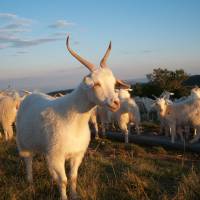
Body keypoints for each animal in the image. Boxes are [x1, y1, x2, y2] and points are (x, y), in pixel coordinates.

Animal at [16, 36, 128, 200]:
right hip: (23, 143)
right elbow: (63, 180)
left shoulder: (77, 154)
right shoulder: (57, 156)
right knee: (28, 161)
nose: (115, 103)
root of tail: (31, 95)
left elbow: (73, 177)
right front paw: (63, 196)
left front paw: (74, 195)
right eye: (96, 84)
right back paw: (30, 182)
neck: (73, 121)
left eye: (114, 83)